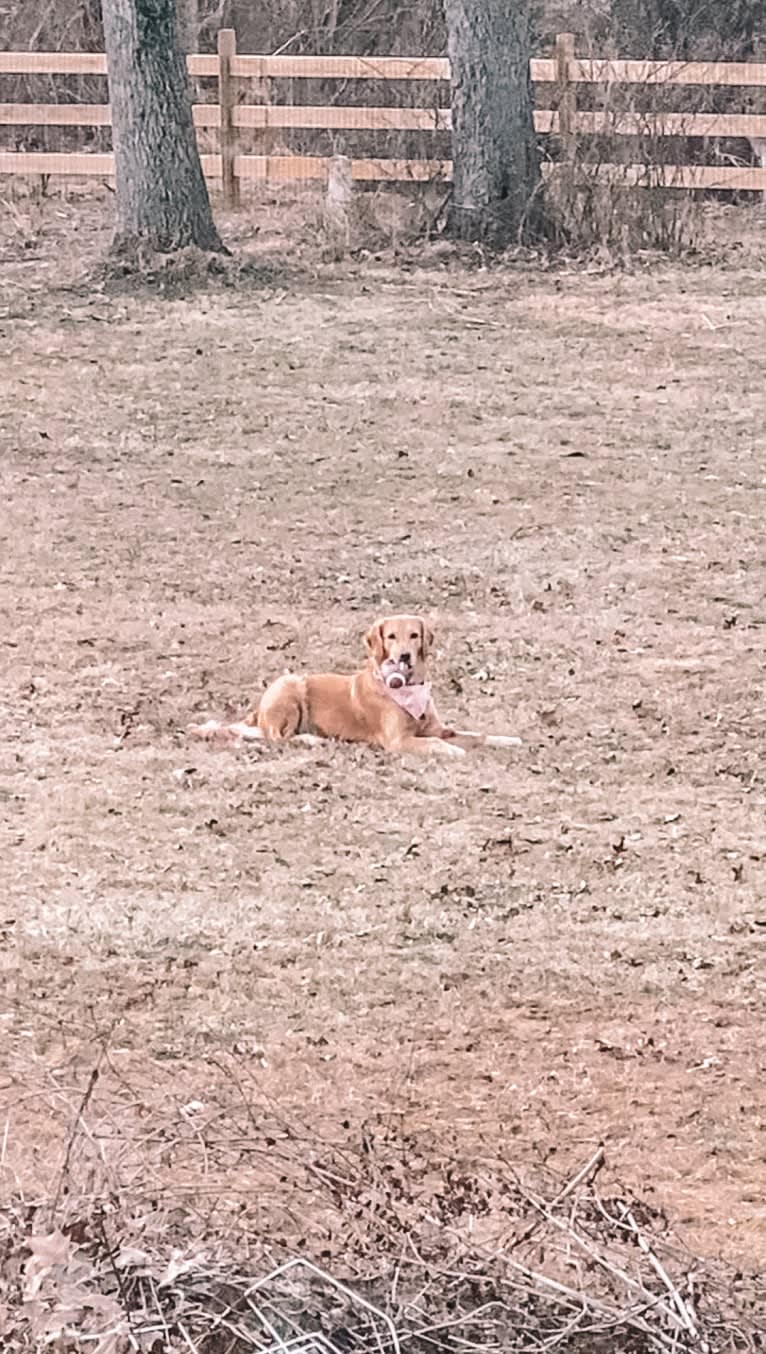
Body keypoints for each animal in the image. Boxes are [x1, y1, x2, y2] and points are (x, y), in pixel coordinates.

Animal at [189, 617, 522, 763]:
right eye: (391, 636)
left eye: (414, 635)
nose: (404, 656)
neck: (407, 688)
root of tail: (257, 710)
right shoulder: (398, 741)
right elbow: (438, 744)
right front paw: (454, 750)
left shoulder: (439, 728)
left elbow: (478, 735)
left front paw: (510, 739)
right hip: (290, 684)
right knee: (276, 737)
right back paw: (313, 740)